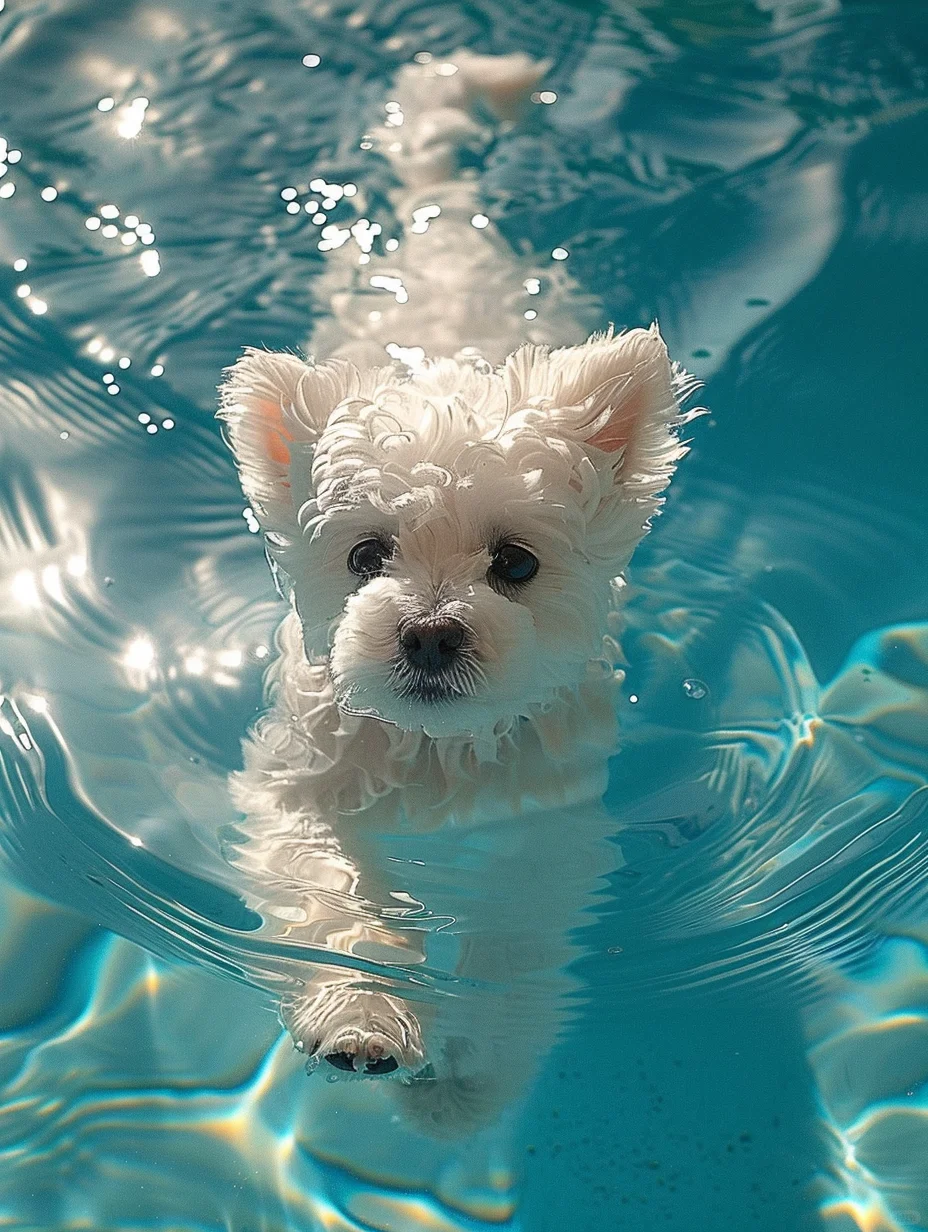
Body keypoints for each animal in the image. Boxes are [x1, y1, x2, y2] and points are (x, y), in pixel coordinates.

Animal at [216, 50, 695, 1133]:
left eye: (514, 563)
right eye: (364, 555)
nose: (430, 634)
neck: (438, 755)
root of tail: (441, 234)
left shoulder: (549, 826)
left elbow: (517, 941)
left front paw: (474, 1071)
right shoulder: (298, 791)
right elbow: (334, 898)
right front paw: (364, 1017)